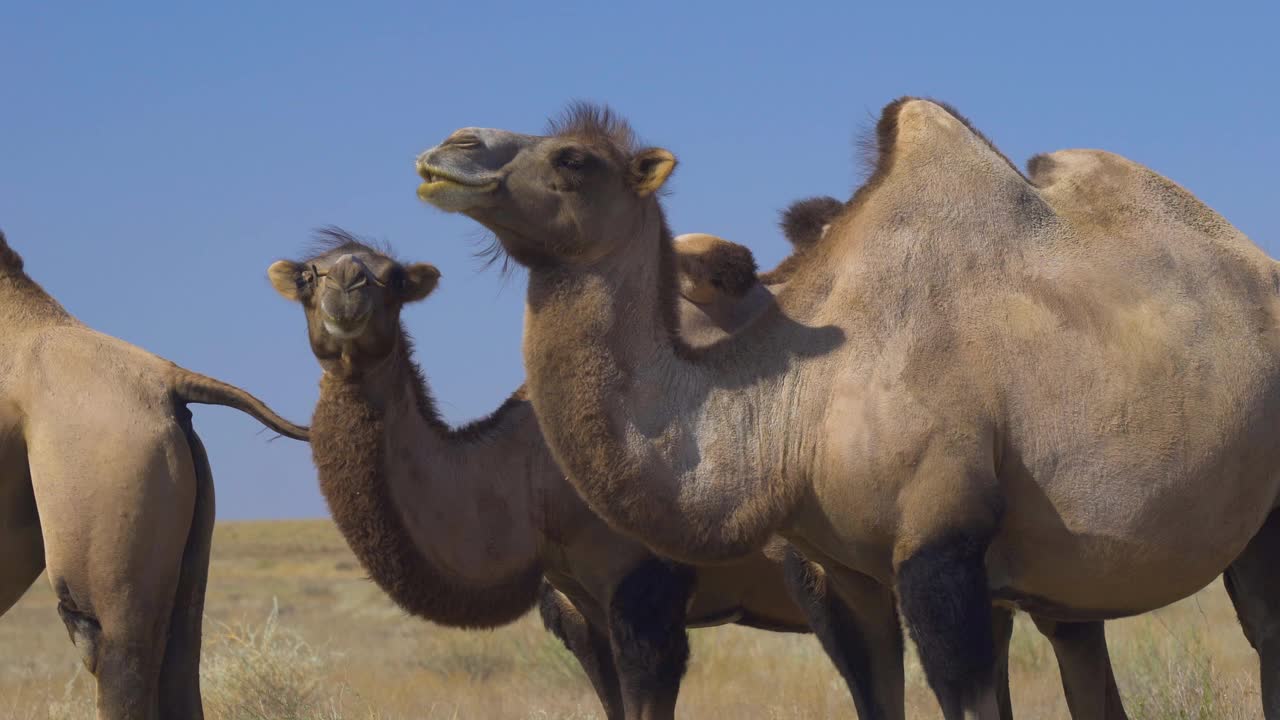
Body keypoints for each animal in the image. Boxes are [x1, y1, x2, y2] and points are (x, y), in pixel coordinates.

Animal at [264, 222, 911, 712]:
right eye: (306, 276)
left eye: (395, 278)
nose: (348, 289)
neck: (535, 475)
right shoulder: (578, 613)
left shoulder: (646, 595)